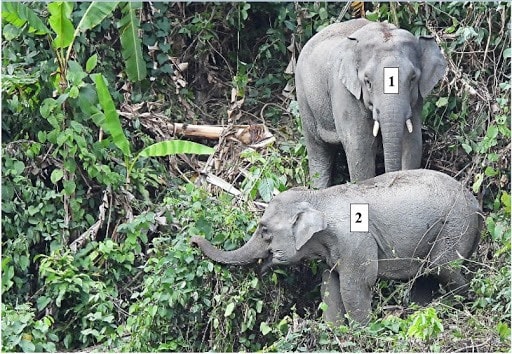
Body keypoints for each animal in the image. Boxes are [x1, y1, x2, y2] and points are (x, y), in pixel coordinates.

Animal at [190, 170, 482, 324]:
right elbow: (329, 285)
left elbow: (355, 286)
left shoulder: (355, 241)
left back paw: (458, 304)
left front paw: (361, 331)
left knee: (442, 268)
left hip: (456, 224)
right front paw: (333, 331)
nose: (194, 239)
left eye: (264, 231)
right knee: (426, 277)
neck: (317, 198)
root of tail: (476, 203)